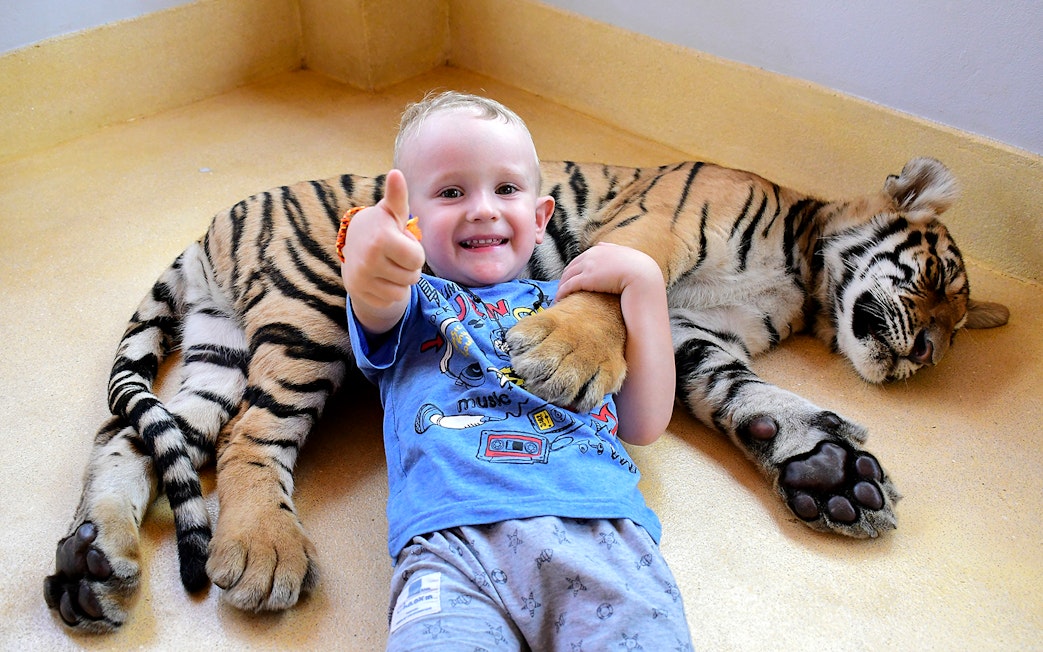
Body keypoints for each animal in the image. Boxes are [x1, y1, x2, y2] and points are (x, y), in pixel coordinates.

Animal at [44, 156, 1009, 632]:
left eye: (955, 331)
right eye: (935, 279)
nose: (921, 354)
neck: (803, 275)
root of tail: (214, 225)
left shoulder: (697, 338)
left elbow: (743, 391)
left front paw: (827, 468)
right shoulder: (656, 225)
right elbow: (605, 298)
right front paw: (562, 357)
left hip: (219, 347)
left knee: (129, 436)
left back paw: (91, 562)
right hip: (310, 307)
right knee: (252, 432)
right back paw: (261, 550)